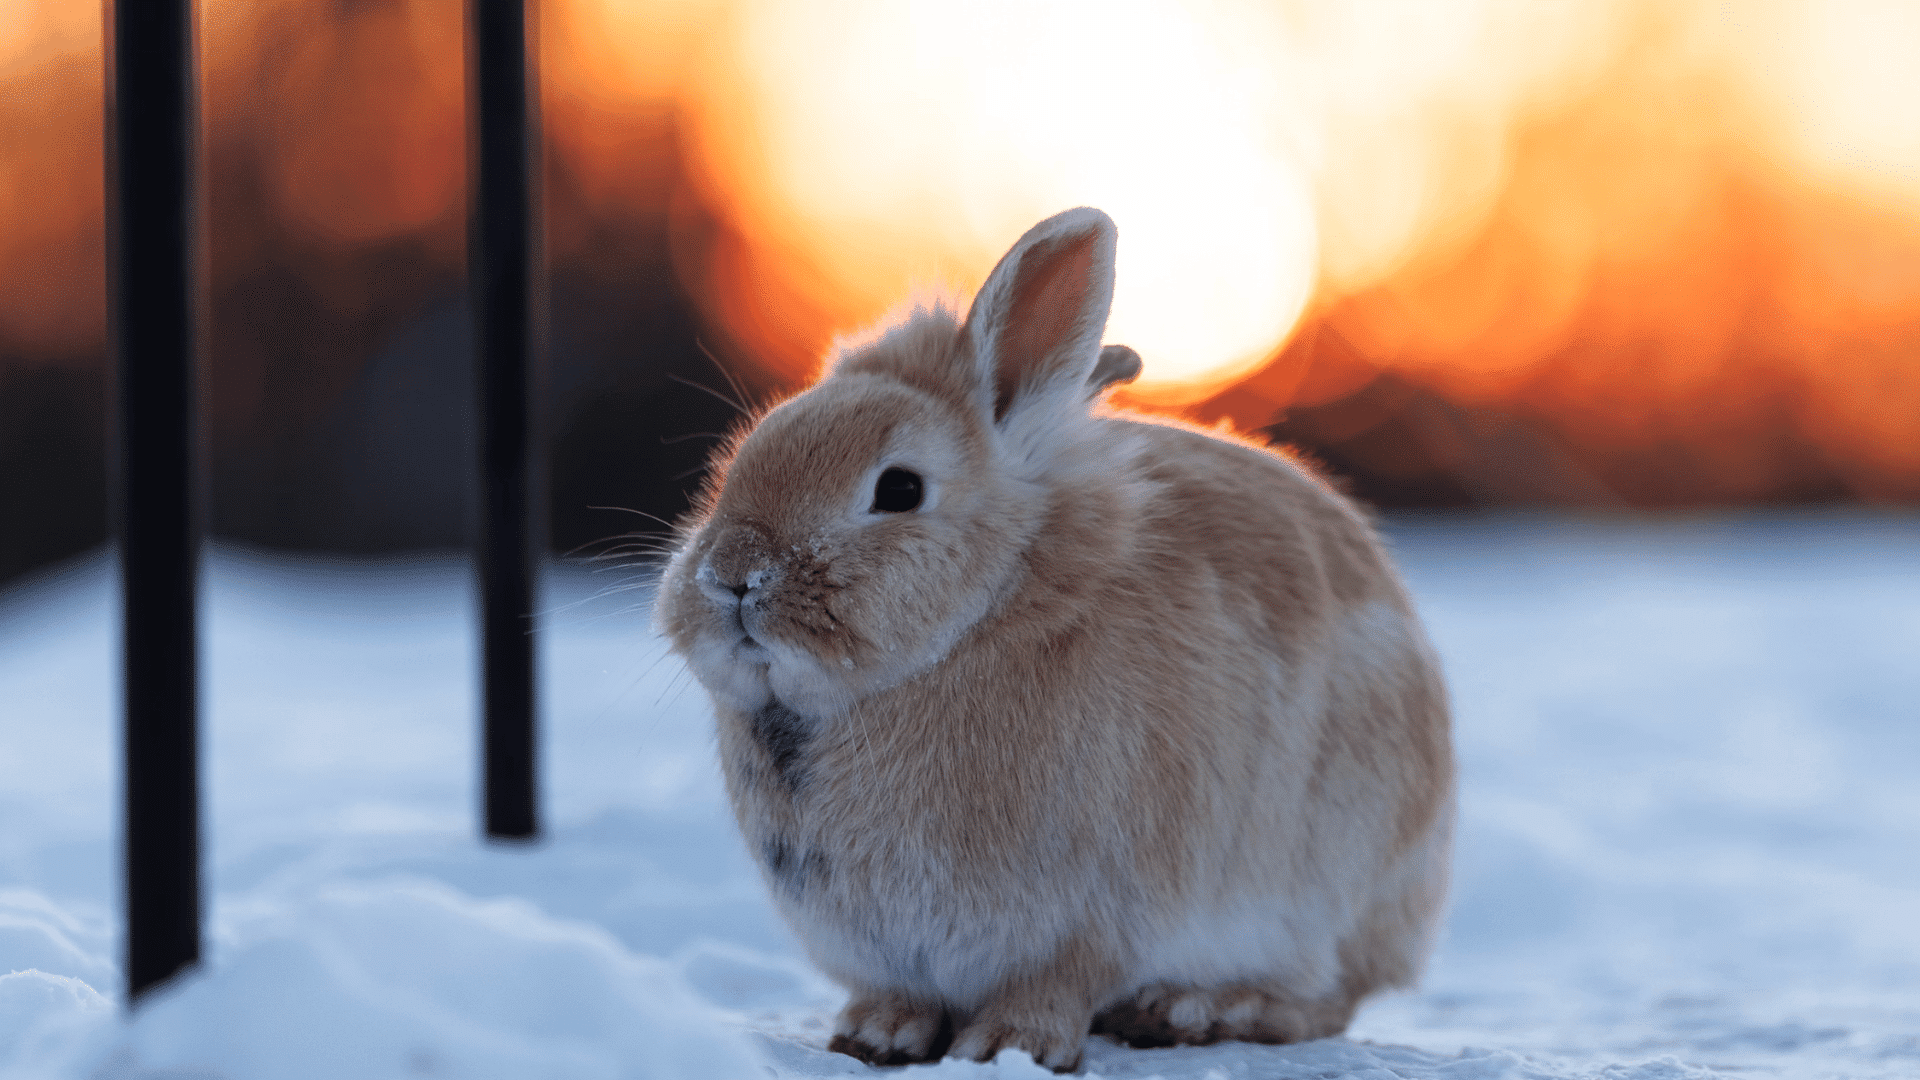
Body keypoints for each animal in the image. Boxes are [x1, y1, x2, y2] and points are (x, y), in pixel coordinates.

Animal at [653, 207, 1454, 1073]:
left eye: (898, 489)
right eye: (743, 459)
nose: (733, 576)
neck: (973, 623)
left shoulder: (1093, 920)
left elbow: (1058, 986)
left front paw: (1007, 1046)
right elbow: (900, 995)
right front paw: (877, 1035)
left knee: (1327, 1001)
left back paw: (1200, 1009)